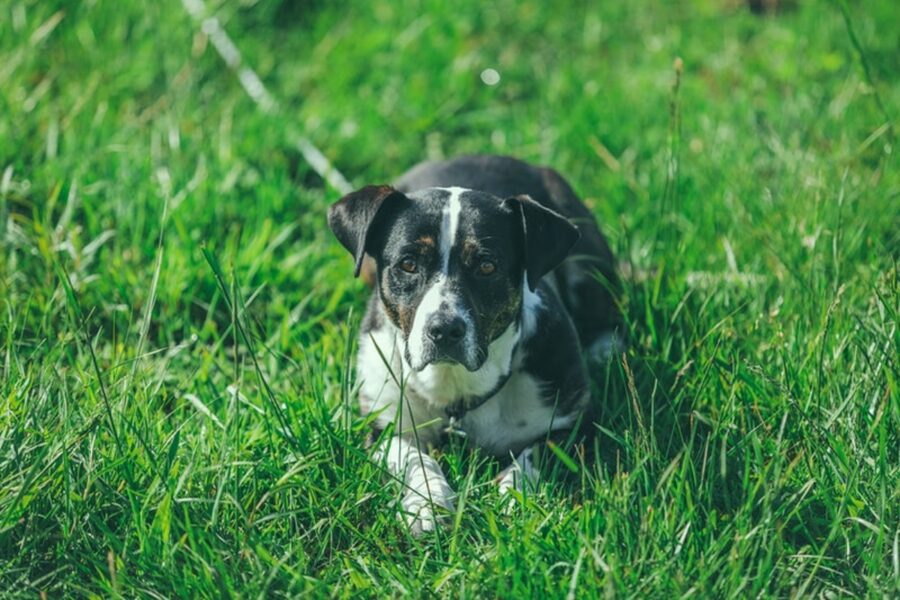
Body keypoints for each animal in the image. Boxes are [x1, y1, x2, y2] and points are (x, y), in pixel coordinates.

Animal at [328, 155, 620, 536]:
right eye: (408, 264)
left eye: (487, 266)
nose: (443, 329)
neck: (456, 388)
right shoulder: (383, 423)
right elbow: (414, 458)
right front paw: (427, 504)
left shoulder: (577, 422)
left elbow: (536, 453)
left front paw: (514, 495)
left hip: (586, 255)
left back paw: (605, 350)